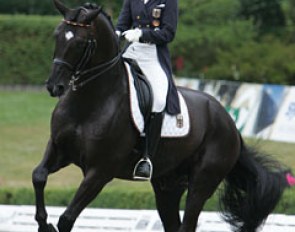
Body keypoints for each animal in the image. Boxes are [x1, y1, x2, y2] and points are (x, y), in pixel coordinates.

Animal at [33, 0, 290, 231]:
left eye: (80, 42)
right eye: (57, 35)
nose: (54, 86)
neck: (89, 102)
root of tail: (229, 122)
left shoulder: (100, 172)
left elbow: (66, 219)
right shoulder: (59, 149)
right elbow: (38, 176)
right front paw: (43, 223)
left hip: (201, 183)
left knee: (188, 222)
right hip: (168, 185)